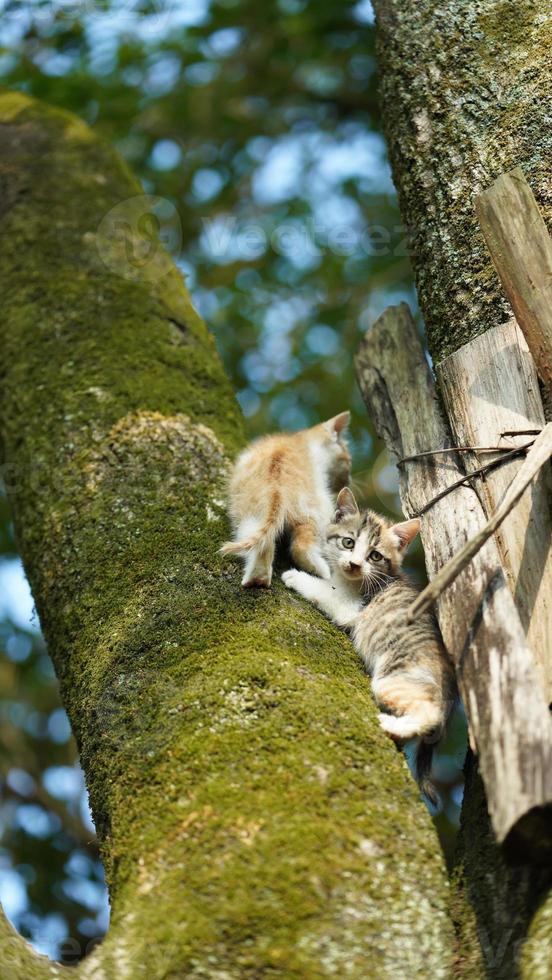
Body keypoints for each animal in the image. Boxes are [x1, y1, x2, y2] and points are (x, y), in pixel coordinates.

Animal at [220, 412, 350, 584]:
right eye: (348, 462)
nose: (348, 480)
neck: (301, 438)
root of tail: (276, 487)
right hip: (317, 508)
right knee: (301, 546)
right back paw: (322, 570)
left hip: (251, 513)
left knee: (260, 540)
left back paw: (258, 577)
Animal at [282, 486, 454, 800]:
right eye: (348, 542)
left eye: (374, 556)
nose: (354, 564)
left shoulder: (349, 605)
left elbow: (322, 590)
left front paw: (295, 575)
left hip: (393, 679)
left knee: (429, 714)